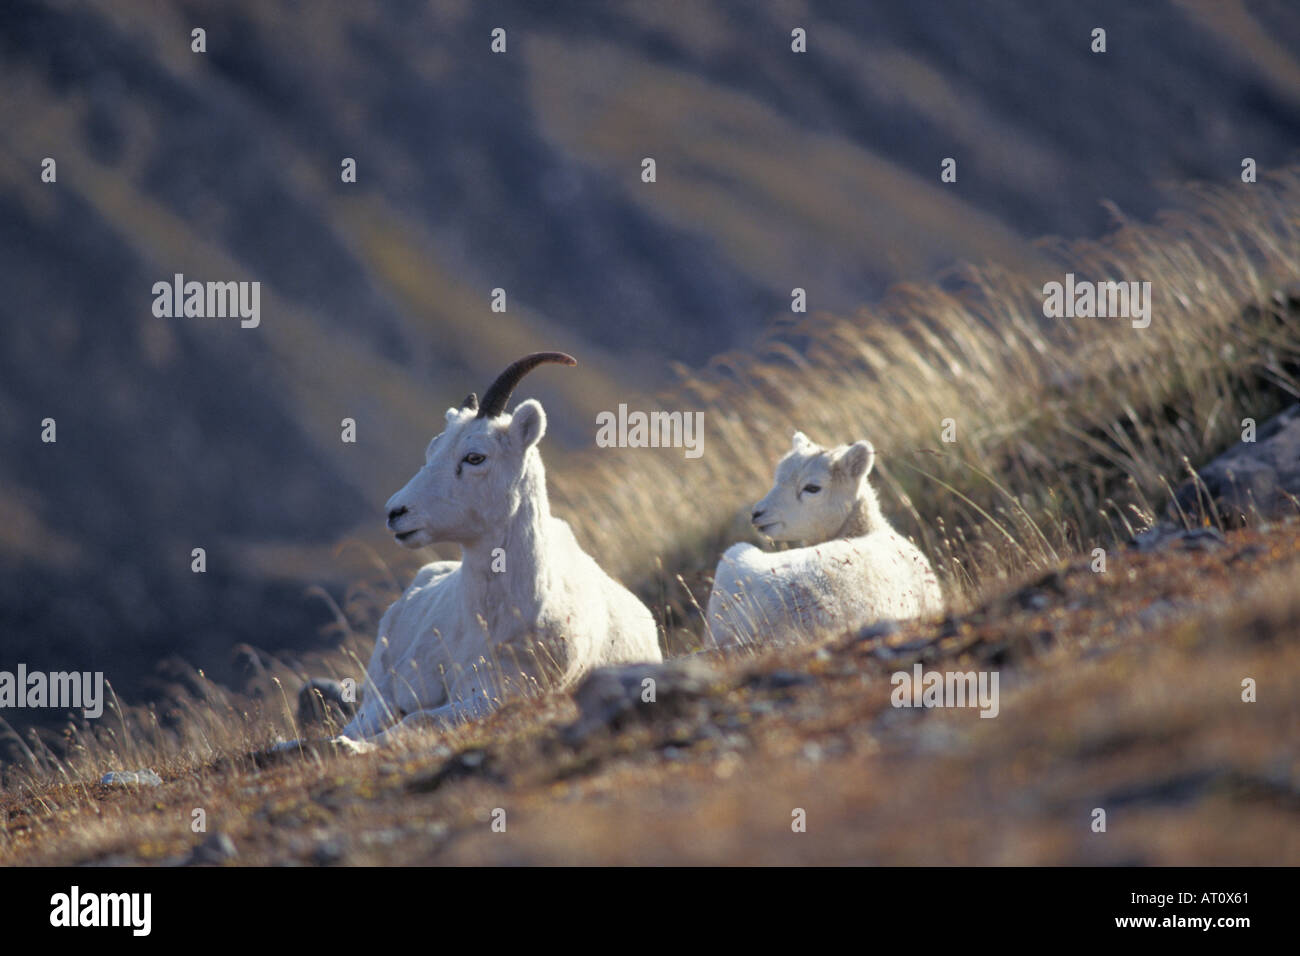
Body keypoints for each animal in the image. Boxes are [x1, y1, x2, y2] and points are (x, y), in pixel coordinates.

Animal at [313, 352, 662, 747]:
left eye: (475, 457)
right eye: (432, 450)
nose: (396, 512)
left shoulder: (494, 694)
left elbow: (420, 719)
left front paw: (353, 748)